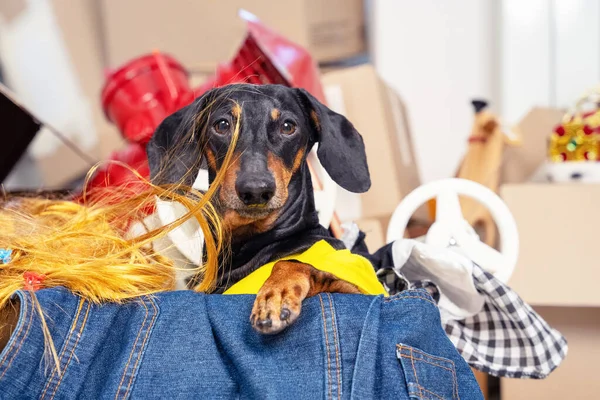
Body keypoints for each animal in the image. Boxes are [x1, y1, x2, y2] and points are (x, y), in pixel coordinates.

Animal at [147, 85, 370, 334]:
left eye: (288, 126)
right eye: (222, 125)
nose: (255, 190)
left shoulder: (357, 290)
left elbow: (295, 262)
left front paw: (275, 297)